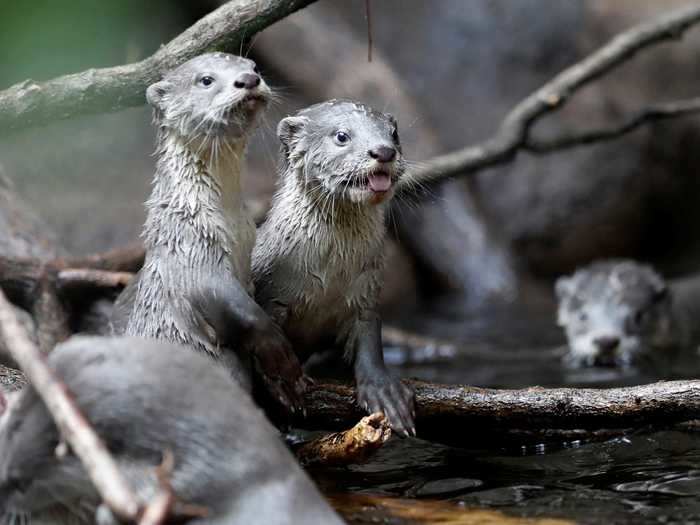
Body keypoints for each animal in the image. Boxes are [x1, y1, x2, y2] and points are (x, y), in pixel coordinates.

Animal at [111, 52, 304, 410]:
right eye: (206, 80)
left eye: (254, 67)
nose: (249, 80)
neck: (225, 216)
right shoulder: (192, 246)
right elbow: (239, 310)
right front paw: (285, 367)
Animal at [252, 99, 416, 434]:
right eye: (341, 136)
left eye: (393, 133)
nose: (384, 151)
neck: (328, 276)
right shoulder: (272, 294)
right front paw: (282, 383)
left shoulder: (366, 290)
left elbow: (370, 338)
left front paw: (385, 391)